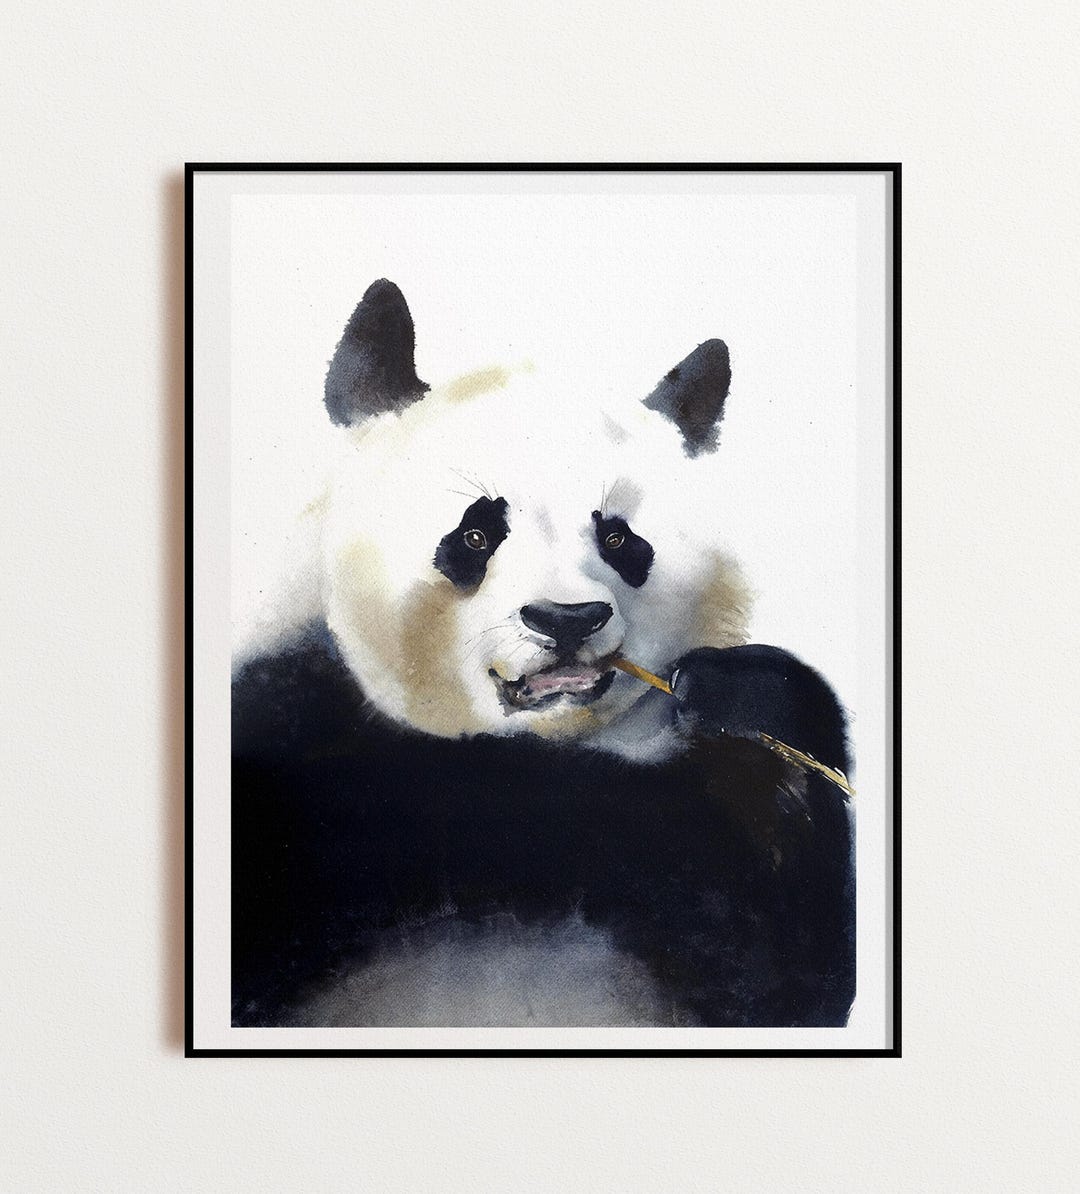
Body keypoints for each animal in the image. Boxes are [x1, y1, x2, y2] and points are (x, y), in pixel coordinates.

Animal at [231, 279, 855, 1029]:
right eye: (475, 534)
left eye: (618, 539)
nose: (567, 617)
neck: (539, 745)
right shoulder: (297, 732)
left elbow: (781, 965)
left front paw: (733, 697)